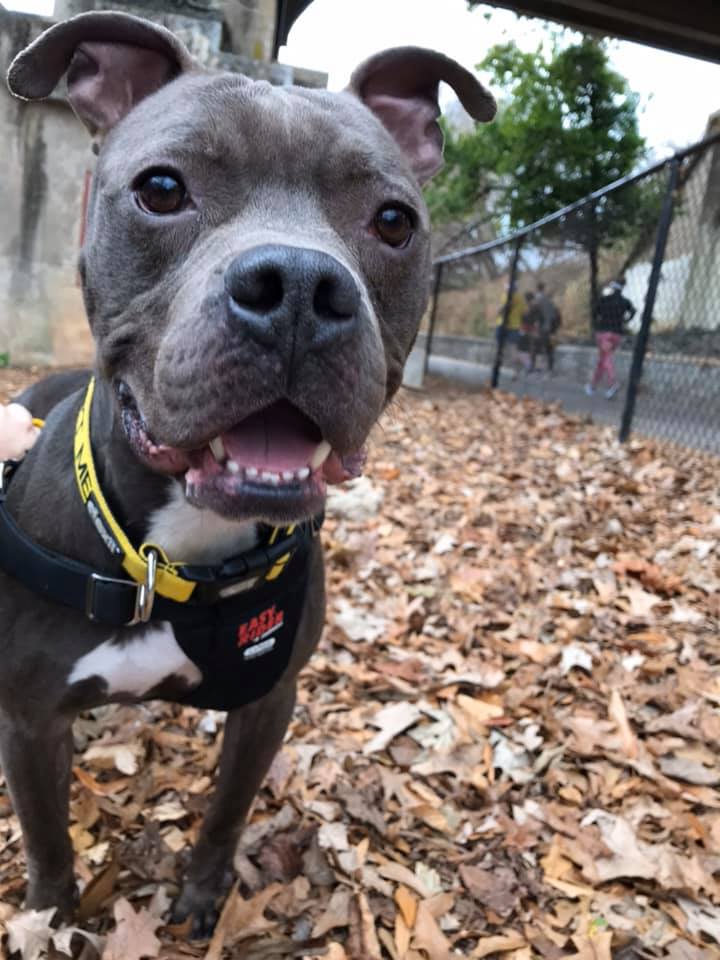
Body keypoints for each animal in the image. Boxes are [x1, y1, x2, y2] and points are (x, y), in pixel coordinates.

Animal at [0, 11, 495, 933]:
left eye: (394, 220)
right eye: (162, 189)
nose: (299, 285)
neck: (171, 557)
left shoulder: (270, 701)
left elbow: (228, 809)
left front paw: (203, 893)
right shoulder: (29, 720)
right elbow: (48, 843)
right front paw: (51, 920)